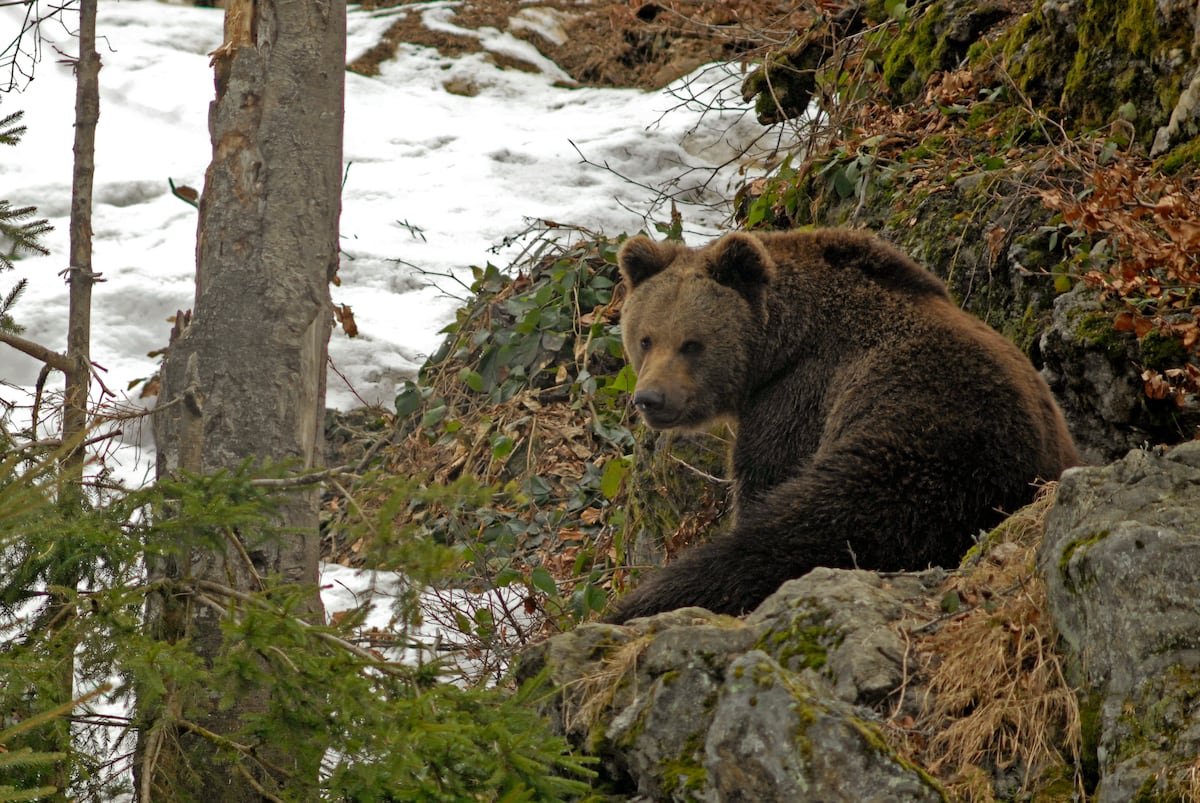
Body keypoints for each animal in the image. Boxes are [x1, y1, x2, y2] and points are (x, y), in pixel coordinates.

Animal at [605, 228, 1079, 624]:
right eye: (645, 339)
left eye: (692, 344)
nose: (650, 398)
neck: (779, 347)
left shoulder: (797, 399)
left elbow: (765, 478)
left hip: (923, 450)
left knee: (802, 530)